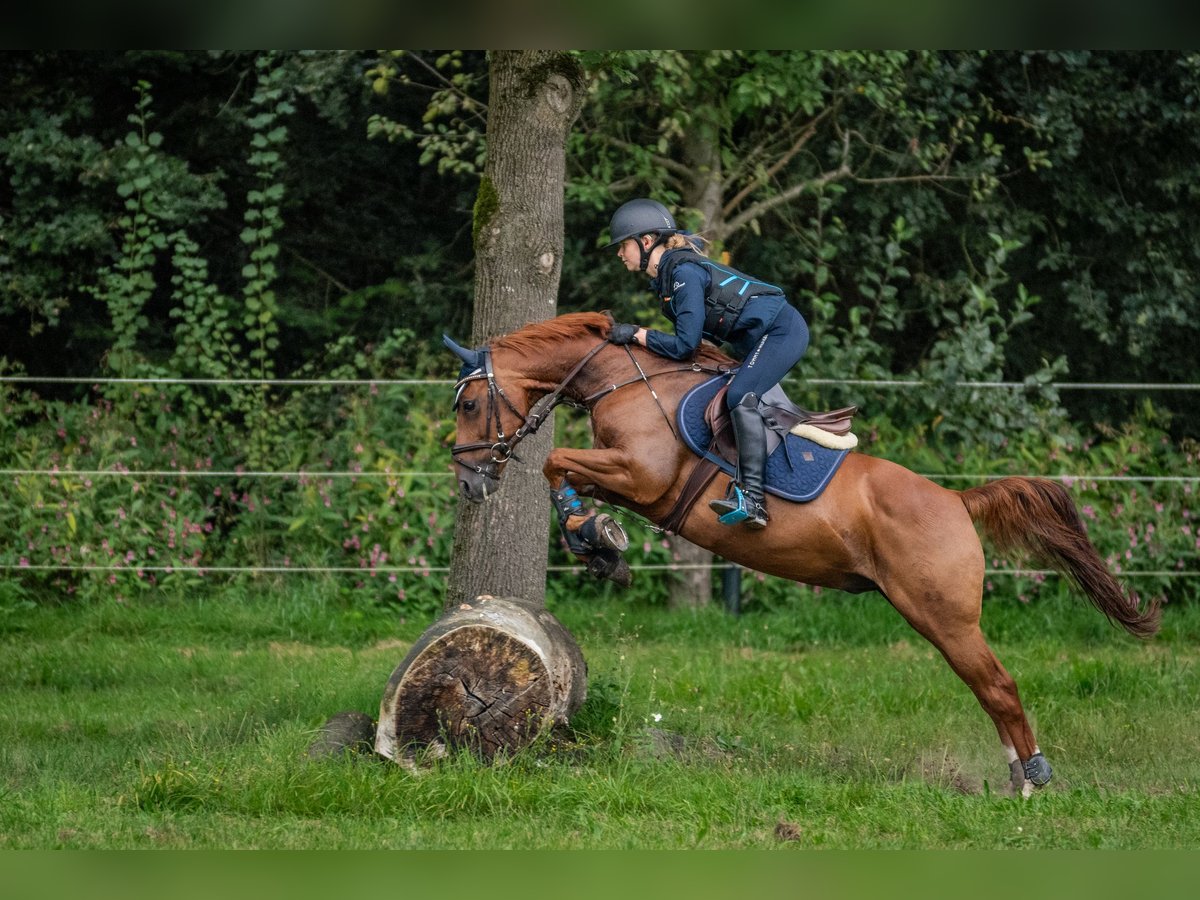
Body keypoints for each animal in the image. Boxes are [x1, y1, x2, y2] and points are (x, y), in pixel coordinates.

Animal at [446, 312, 1156, 796]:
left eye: (472, 402)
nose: (469, 482)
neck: (625, 381)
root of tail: (957, 501)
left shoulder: (642, 477)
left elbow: (558, 463)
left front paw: (597, 538)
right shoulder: (625, 480)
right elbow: (565, 472)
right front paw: (597, 543)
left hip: (944, 616)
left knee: (999, 685)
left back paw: (1034, 779)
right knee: (989, 688)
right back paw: (1015, 775)